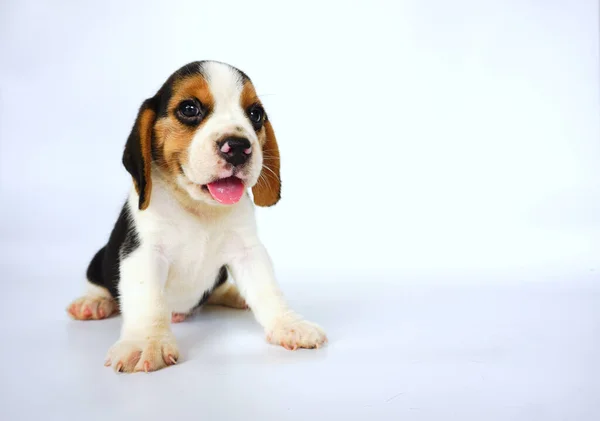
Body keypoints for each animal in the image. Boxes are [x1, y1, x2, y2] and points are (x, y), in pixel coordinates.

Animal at [67, 60, 328, 372]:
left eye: (255, 114)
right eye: (189, 109)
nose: (238, 147)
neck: (198, 208)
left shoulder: (248, 251)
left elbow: (268, 290)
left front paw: (290, 325)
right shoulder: (143, 252)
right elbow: (148, 299)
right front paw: (146, 343)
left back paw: (234, 295)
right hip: (101, 257)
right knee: (97, 282)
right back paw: (92, 303)